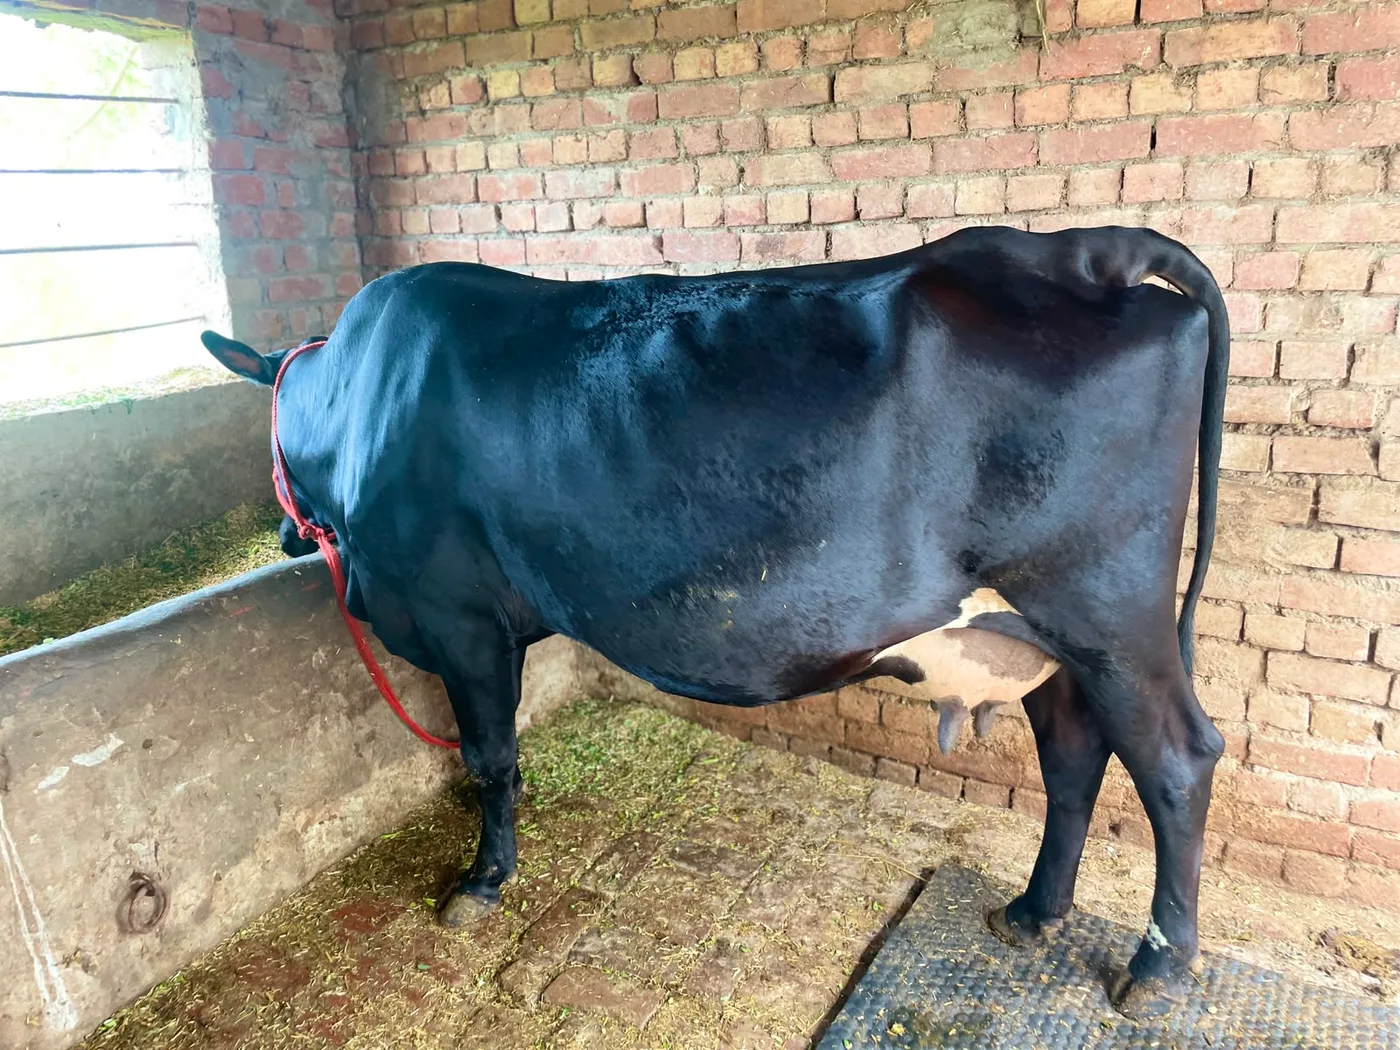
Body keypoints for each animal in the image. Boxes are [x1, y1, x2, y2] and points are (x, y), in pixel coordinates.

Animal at [201, 224, 1228, 1018]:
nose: (282, 538)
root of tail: (1085, 249)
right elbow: (489, 752)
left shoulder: (460, 616)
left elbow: (489, 752)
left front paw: (482, 880)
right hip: (1045, 635)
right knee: (1072, 754)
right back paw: (1032, 913)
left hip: (1106, 613)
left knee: (1176, 761)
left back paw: (1157, 971)